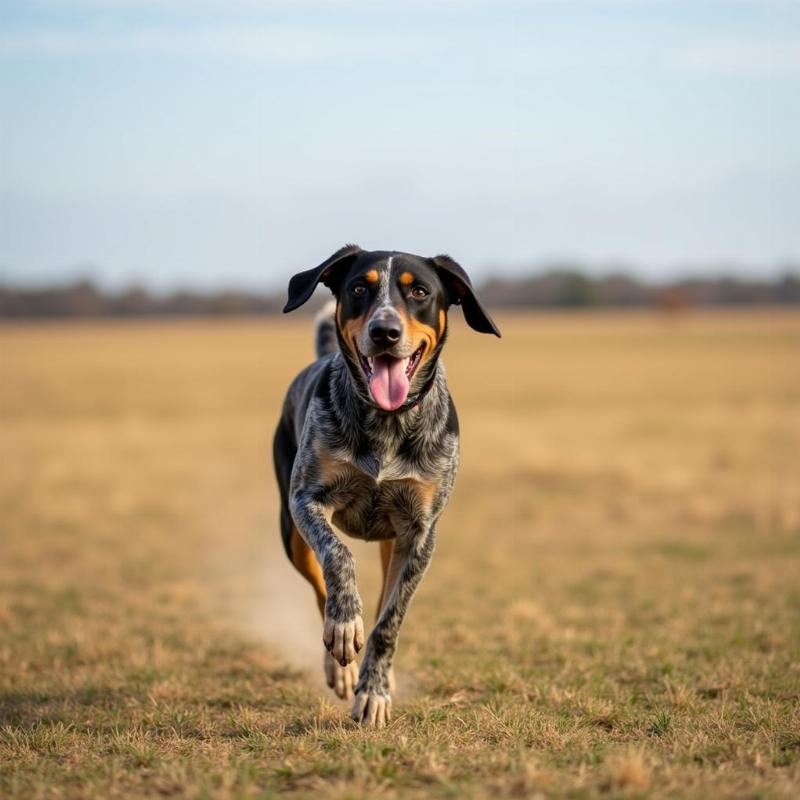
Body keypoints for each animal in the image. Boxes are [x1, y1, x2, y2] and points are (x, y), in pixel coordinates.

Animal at [276, 244, 500, 724]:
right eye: (360, 287)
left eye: (420, 292)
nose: (385, 332)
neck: (387, 421)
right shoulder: (306, 499)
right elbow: (337, 558)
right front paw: (345, 630)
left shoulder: (420, 532)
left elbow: (390, 619)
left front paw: (374, 693)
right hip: (290, 533)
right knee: (320, 587)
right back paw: (339, 662)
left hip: (389, 543)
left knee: (380, 603)